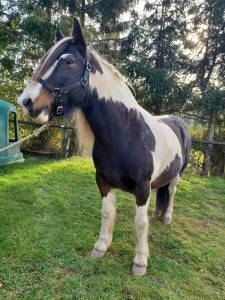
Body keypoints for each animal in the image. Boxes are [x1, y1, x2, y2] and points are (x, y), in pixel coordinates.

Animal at [18, 18, 190, 276]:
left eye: (67, 61)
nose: (26, 101)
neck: (127, 133)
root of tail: (177, 121)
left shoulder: (142, 189)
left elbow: (140, 223)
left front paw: (140, 262)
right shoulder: (103, 181)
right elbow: (107, 213)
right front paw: (100, 247)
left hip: (178, 175)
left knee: (171, 192)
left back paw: (167, 217)